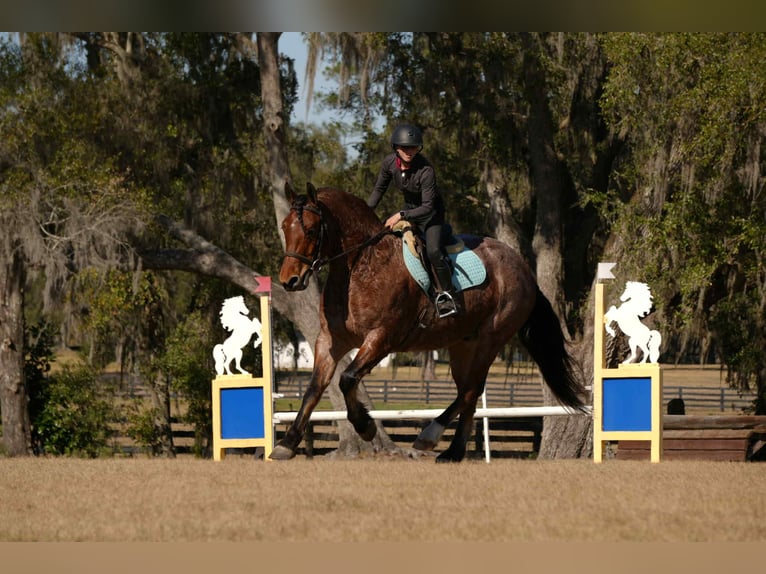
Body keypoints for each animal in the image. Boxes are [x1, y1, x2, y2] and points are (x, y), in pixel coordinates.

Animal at [271, 182, 585, 462]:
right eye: (285, 227)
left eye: (312, 230)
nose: (289, 281)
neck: (361, 265)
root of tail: (524, 269)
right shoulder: (330, 341)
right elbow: (314, 388)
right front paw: (287, 444)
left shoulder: (381, 339)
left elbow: (347, 379)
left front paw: (365, 425)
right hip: (462, 345)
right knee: (468, 392)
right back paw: (445, 448)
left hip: (491, 338)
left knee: (470, 390)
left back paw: (436, 441)